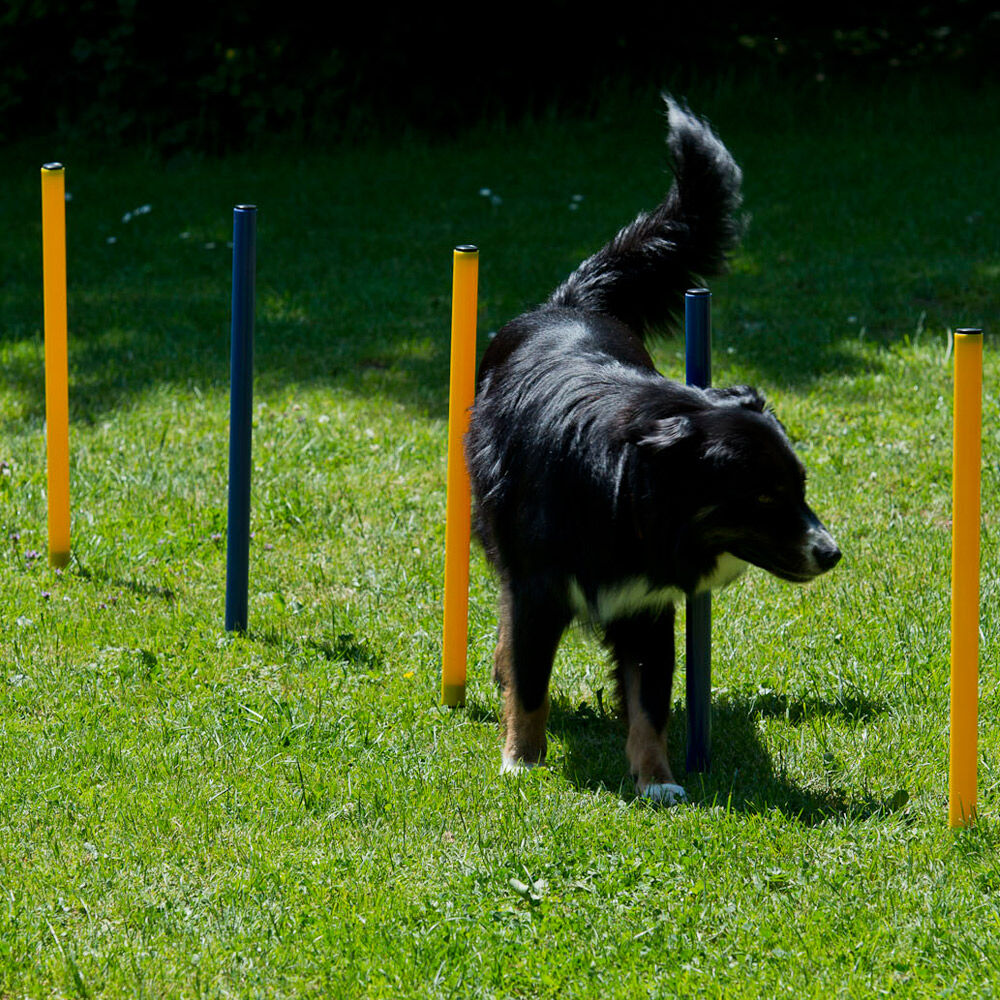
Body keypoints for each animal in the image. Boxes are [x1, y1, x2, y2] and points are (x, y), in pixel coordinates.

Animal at [464, 99, 840, 804]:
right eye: (763, 495)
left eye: (802, 489)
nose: (830, 553)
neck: (622, 490)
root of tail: (568, 303)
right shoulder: (538, 587)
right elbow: (530, 680)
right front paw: (522, 761)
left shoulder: (647, 603)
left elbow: (649, 697)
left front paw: (658, 781)